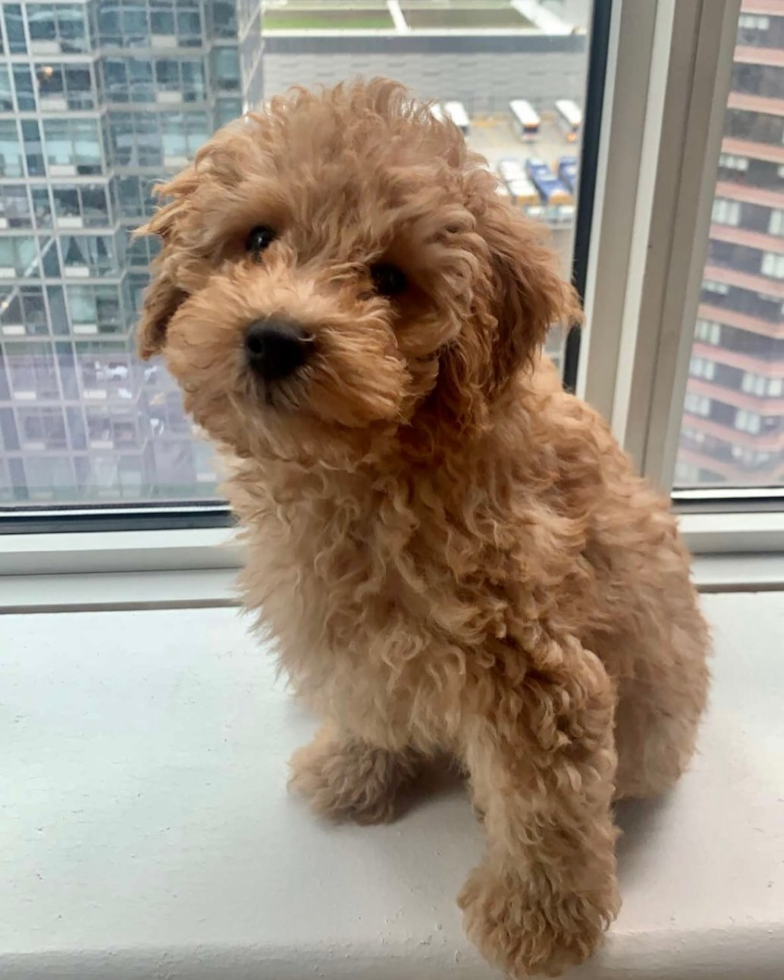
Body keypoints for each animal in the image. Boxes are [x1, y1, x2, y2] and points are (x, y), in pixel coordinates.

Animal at [135, 80, 712, 976]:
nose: (273, 338)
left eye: (389, 278)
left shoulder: (538, 667)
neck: (378, 461)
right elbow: (371, 700)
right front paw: (353, 770)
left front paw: (540, 924)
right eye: (257, 238)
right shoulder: (357, 632)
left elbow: (547, 801)